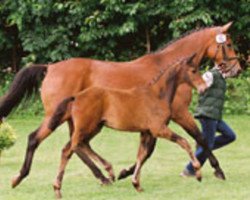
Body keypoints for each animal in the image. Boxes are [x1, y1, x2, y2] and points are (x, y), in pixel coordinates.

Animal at [48, 55, 207, 198]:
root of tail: (76, 97)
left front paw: (136, 184)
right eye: (193, 70)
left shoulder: (146, 132)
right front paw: (198, 173)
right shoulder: (159, 129)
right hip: (85, 128)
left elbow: (141, 155)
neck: (157, 95)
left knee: (77, 146)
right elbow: (184, 142)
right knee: (71, 148)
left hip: (94, 128)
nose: (203, 88)